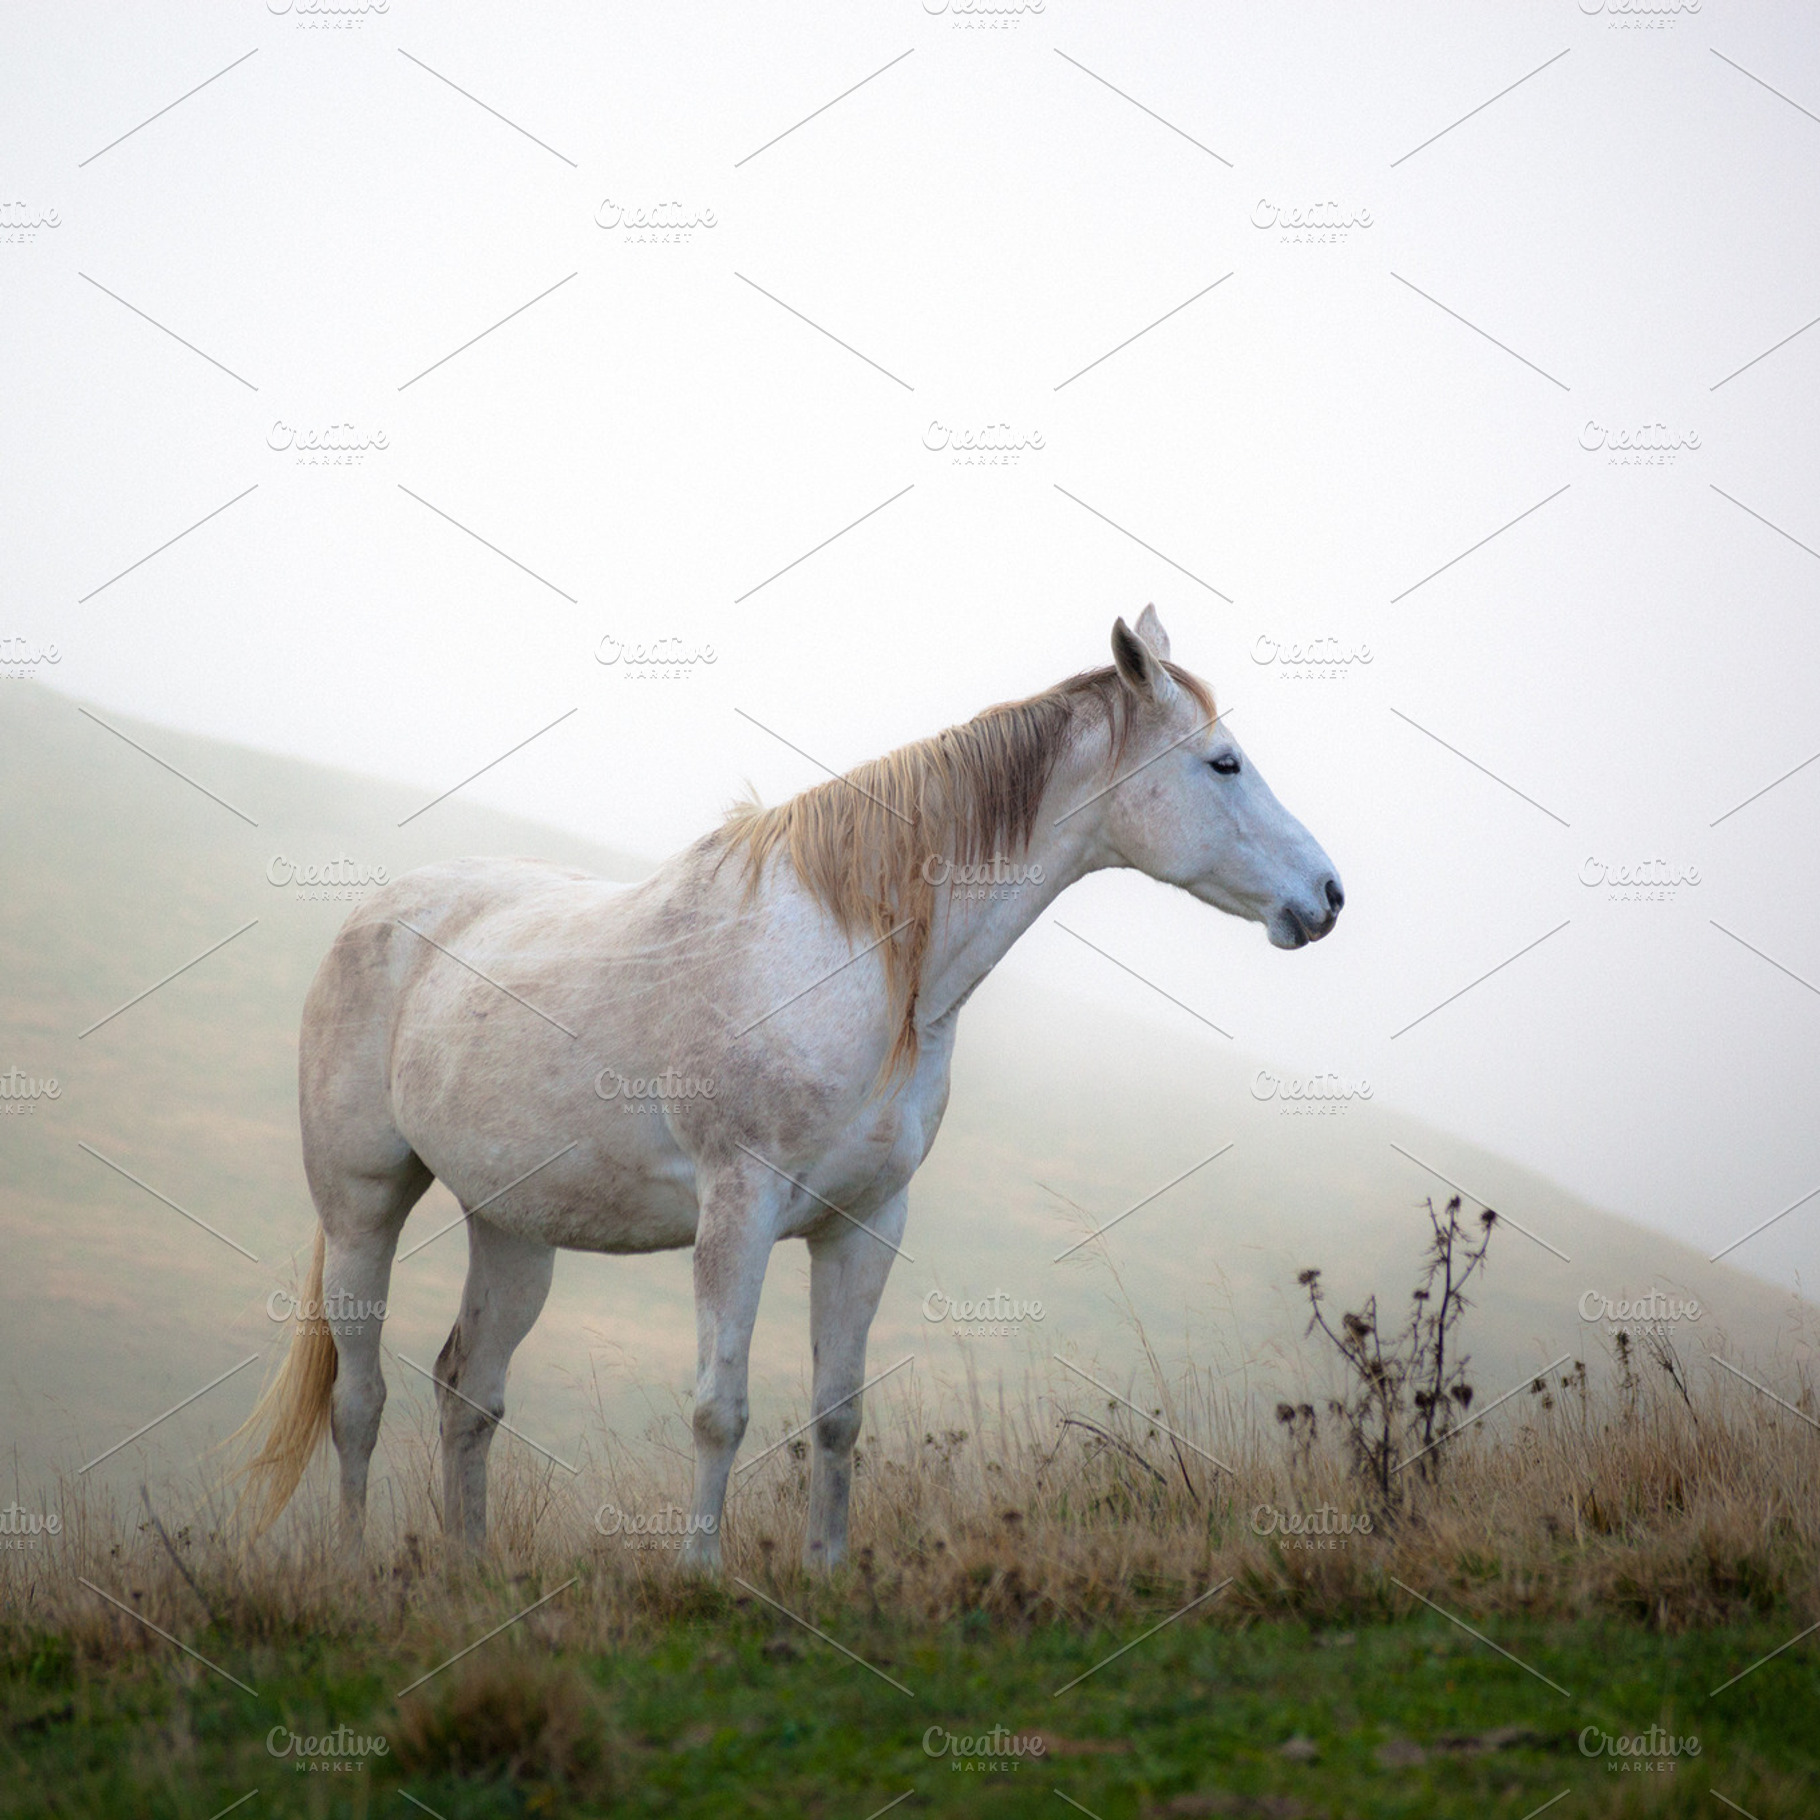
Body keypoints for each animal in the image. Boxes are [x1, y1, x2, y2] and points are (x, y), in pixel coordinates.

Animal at [239, 607, 1343, 1568]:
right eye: (1221, 762)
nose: (1326, 896)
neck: (860, 957)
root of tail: (379, 915)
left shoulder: (864, 1221)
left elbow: (837, 1412)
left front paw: (825, 1569)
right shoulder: (739, 1206)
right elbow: (716, 1408)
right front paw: (698, 1574)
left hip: (513, 1227)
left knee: (468, 1392)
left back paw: (468, 1572)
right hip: (362, 1206)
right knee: (359, 1399)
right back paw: (355, 1571)